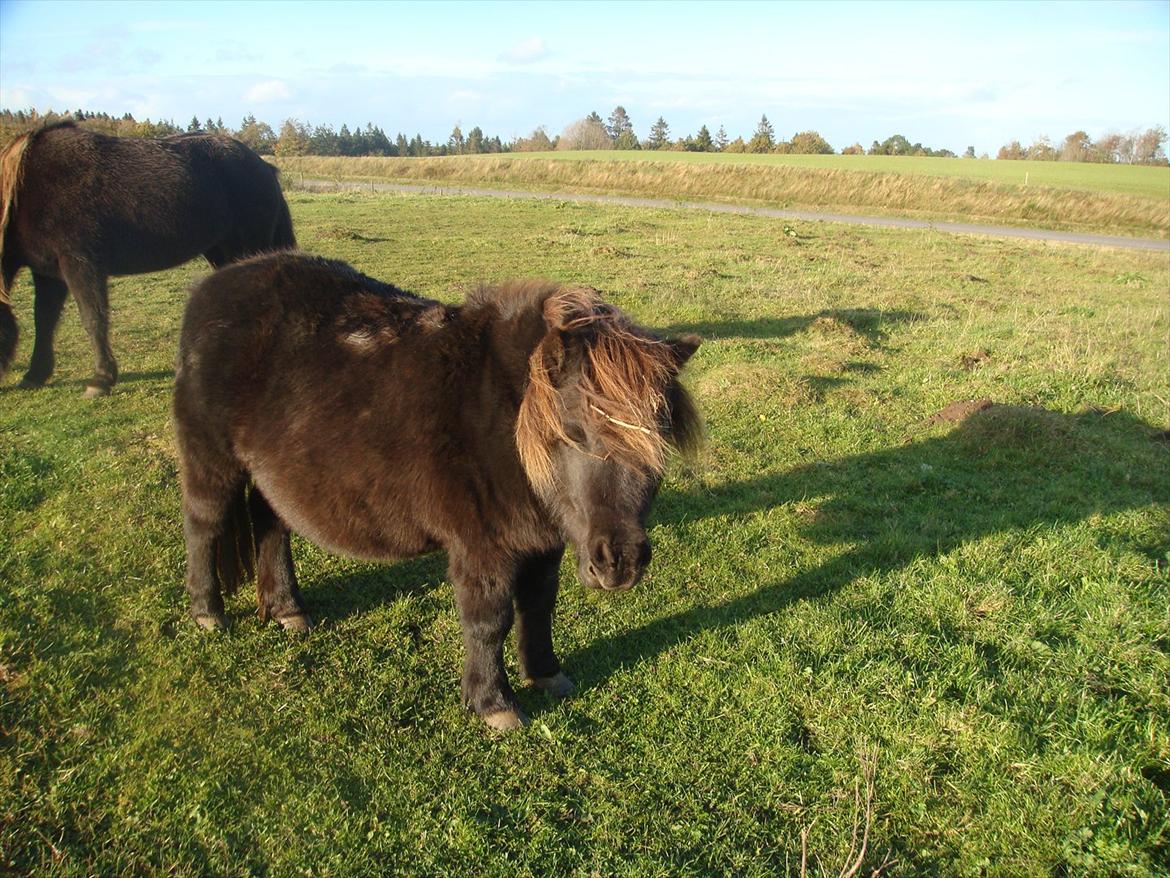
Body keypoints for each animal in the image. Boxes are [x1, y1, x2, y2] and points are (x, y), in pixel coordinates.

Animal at [1, 122, 292, 398]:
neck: (26, 190)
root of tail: (263, 167)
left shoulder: (79, 264)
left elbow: (93, 319)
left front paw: (100, 380)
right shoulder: (47, 272)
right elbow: (44, 320)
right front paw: (35, 374)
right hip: (222, 253)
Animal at [174, 250, 702, 730]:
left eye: (659, 439)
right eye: (573, 432)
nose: (620, 562)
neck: (503, 415)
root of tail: (211, 288)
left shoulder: (543, 542)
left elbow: (538, 605)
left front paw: (546, 674)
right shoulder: (483, 545)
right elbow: (489, 620)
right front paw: (494, 704)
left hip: (271, 477)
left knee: (272, 527)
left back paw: (288, 611)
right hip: (212, 463)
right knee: (203, 525)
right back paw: (208, 613)